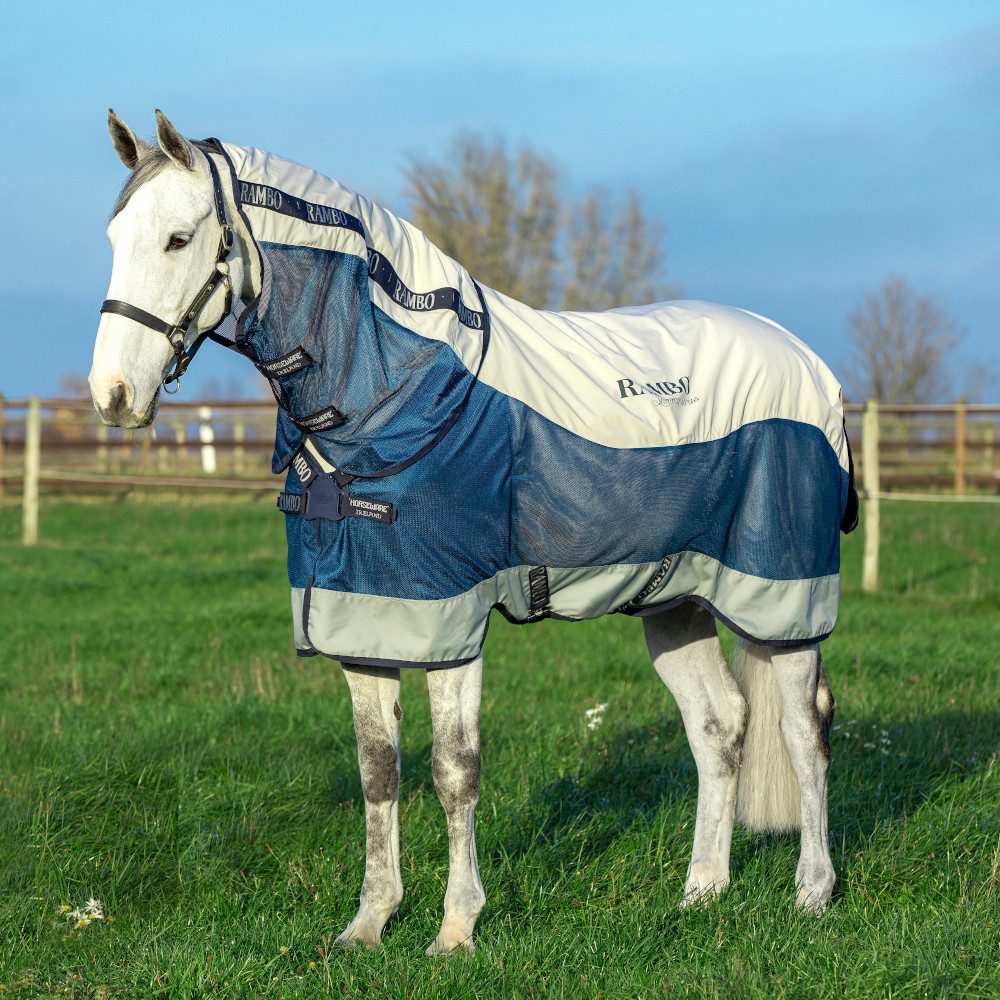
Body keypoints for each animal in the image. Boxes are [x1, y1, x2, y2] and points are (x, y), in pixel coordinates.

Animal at [89, 110, 856, 955]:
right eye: (115, 235)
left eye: (178, 239)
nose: (112, 396)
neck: (397, 396)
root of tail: (811, 368)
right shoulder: (366, 620)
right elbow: (378, 771)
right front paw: (369, 922)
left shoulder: (449, 621)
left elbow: (454, 771)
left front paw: (456, 929)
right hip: (674, 601)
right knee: (719, 728)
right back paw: (700, 893)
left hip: (780, 595)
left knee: (804, 729)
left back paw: (813, 892)